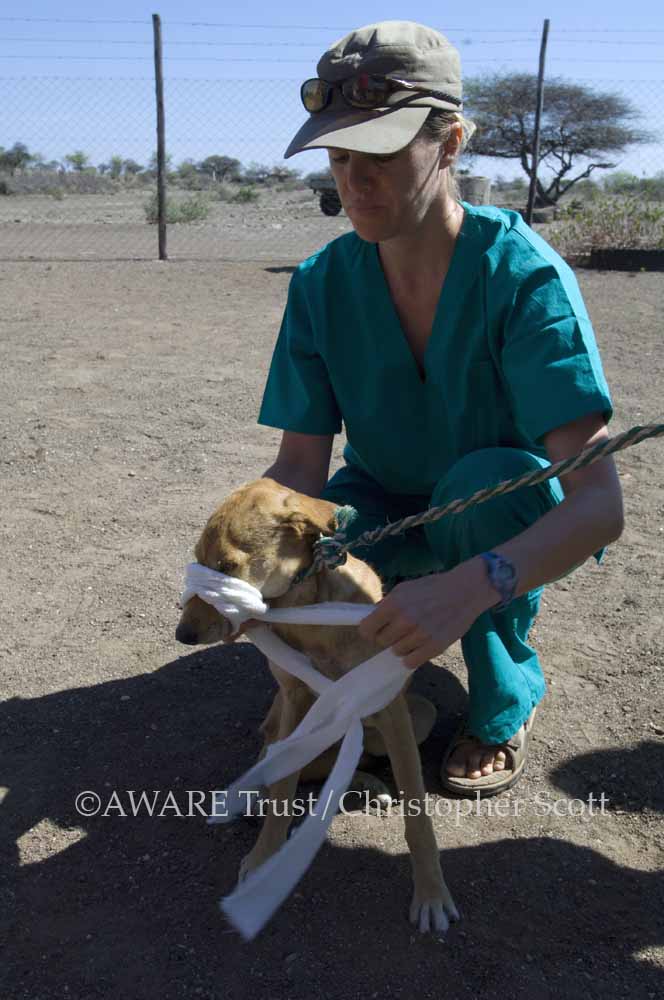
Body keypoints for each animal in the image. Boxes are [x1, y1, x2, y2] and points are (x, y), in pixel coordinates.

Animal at [174, 480, 460, 932]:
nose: (182, 635)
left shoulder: (392, 710)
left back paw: (372, 784)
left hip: (420, 718)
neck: (309, 614)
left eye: (227, 565)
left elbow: (417, 813)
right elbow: (283, 793)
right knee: (294, 767)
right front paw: (264, 858)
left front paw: (431, 892)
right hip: (278, 730)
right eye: (199, 562)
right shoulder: (294, 700)